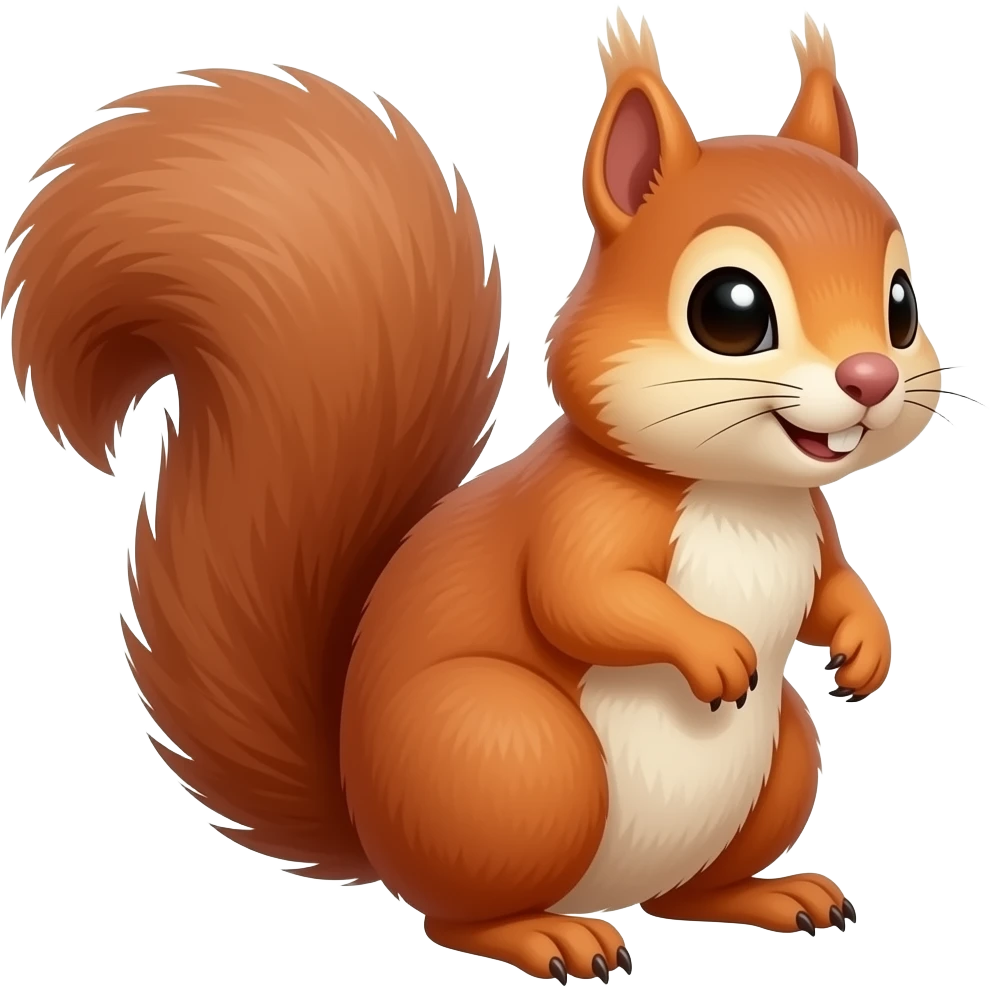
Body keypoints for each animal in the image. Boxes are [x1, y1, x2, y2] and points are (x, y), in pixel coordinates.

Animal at [5, 10, 938, 984]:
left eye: (902, 304)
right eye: (730, 309)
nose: (870, 379)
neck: (741, 493)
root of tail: (371, 831)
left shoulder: (814, 529)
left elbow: (832, 589)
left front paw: (867, 644)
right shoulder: (581, 517)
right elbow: (582, 598)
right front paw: (712, 650)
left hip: (776, 760)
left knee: (685, 896)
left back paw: (768, 895)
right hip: (510, 755)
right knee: (458, 916)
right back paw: (548, 936)